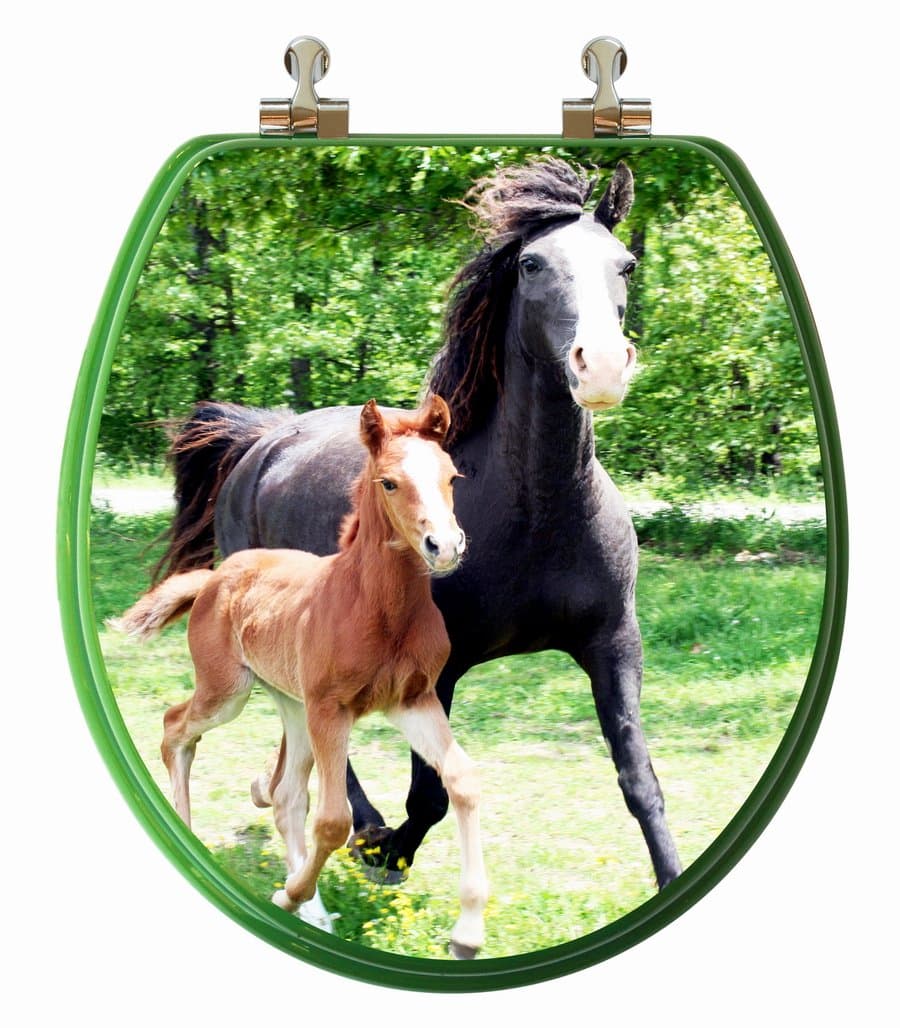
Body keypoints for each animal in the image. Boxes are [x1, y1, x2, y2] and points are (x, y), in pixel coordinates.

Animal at [115, 396, 488, 958]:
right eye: (389, 482)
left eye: (450, 476)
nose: (443, 546)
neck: (377, 608)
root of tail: (216, 577)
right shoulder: (332, 708)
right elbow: (334, 821)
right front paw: (288, 895)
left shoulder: (412, 701)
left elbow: (461, 780)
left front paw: (467, 931)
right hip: (231, 692)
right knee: (175, 726)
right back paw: (188, 834)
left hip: (291, 703)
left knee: (287, 794)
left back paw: (310, 911)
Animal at [154, 156, 683, 895]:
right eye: (532, 265)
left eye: (625, 264)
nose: (601, 366)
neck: (536, 517)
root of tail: (261, 439)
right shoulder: (439, 667)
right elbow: (429, 794)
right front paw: (386, 854)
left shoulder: (613, 644)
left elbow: (640, 781)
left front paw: (672, 877)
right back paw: (357, 825)